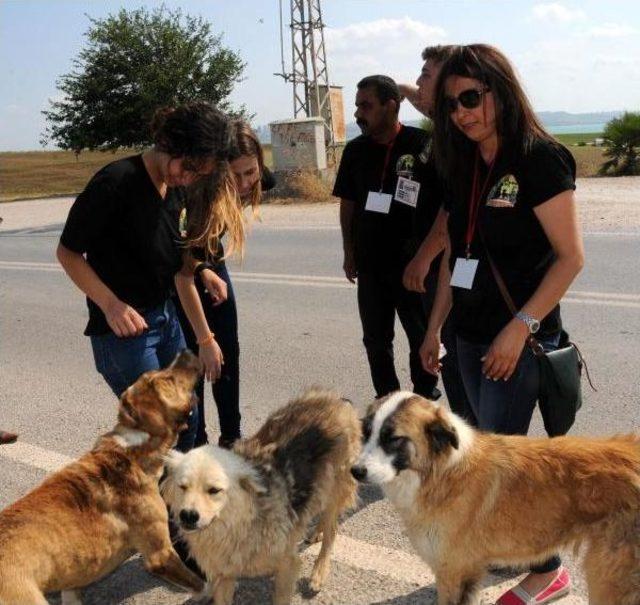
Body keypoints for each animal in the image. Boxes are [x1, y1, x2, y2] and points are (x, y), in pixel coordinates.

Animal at [0, 350, 205, 604]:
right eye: (167, 379)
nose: (184, 351)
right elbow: (202, 585)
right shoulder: (161, 555)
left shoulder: (72, 582)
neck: (133, 447)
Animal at [352, 390, 640, 604]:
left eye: (393, 438)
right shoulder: (467, 571)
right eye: (366, 433)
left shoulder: (452, 571)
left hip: (607, 579)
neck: (440, 472)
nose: (355, 471)